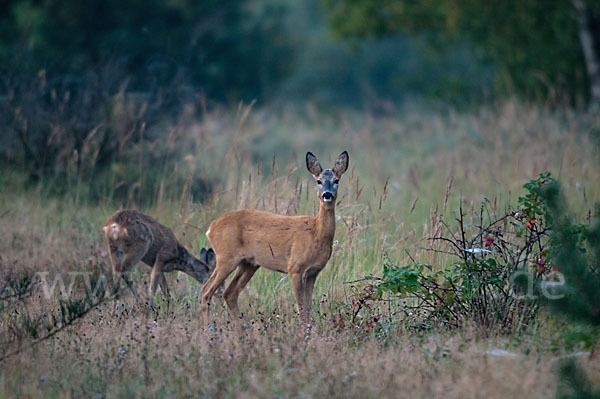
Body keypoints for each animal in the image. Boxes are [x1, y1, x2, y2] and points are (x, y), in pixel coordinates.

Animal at [202, 151, 350, 324]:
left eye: (336, 180)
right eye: (318, 181)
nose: (327, 194)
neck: (315, 233)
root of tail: (211, 228)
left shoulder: (313, 272)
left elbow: (308, 308)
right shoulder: (295, 268)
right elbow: (302, 309)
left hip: (249, 263)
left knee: (229, 293)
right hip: (226, 257)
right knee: (206, 290)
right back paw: (208, 329)